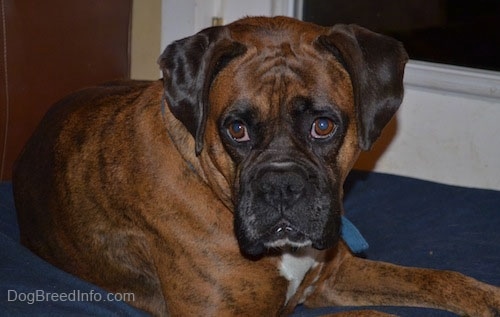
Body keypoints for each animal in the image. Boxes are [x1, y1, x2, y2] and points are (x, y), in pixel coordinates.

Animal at [13, 16, 498, 314]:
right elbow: (373, 315)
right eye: (237, 129)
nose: (281, 187)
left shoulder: (334, 275)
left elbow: (439, 278)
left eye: (323, 125)